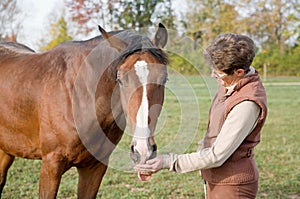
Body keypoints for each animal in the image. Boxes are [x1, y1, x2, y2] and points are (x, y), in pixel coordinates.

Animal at [0, 24, 169, 198]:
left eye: (164, 79)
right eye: (120, 79)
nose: (143, 151)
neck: (78, 95)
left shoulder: (95, 167)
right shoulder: (51, 165)